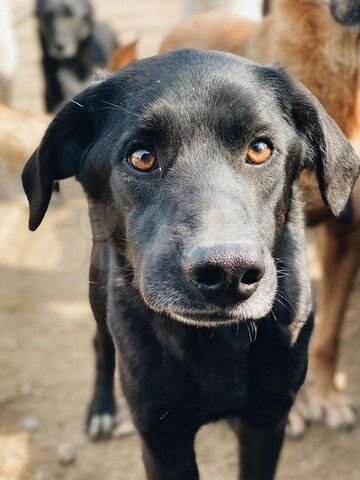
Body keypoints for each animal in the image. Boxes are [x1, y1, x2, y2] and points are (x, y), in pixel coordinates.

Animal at [22, 50, 360, 478]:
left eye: (260, 149)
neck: (216, 340)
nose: (229, 272)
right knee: (100, 343)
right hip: (98, 282)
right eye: (142, 157)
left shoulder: (266, 422)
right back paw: (101, 410)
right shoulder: (164, 441)